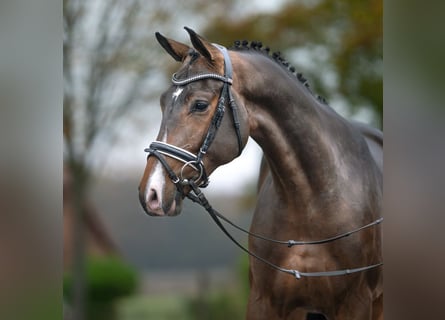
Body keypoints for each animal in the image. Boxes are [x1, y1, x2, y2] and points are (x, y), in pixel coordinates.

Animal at [137, 28, 380, 320]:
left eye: (200, 105)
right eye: (163, 102)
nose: (151, 193)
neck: (312, 200)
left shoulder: (356, 304)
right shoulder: (263, 303)